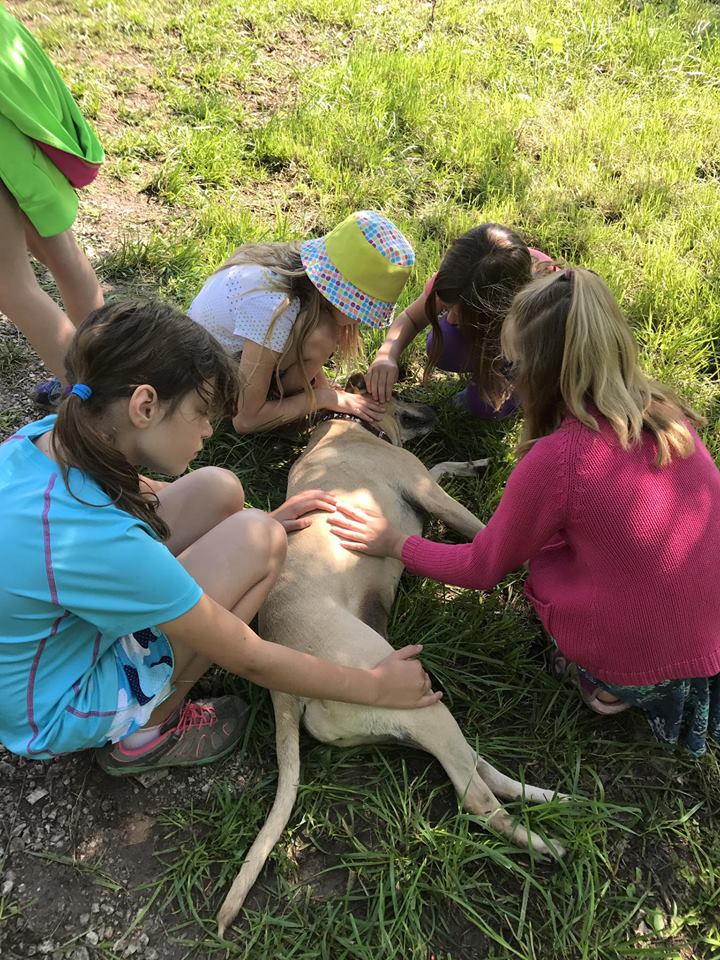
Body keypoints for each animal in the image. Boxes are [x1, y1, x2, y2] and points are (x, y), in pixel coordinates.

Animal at [217, 378, 564, 932]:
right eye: (402, 389)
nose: (438, 407)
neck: (342, 428)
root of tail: (282, 688)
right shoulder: (426, 491)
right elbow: (482, 534)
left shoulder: (423, 491)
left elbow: (444, 470)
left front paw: (474, 464)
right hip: (418, 699)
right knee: (475, 796)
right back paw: (541, 843)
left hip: (408, 721)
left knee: (476, 766)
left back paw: (547, 797)